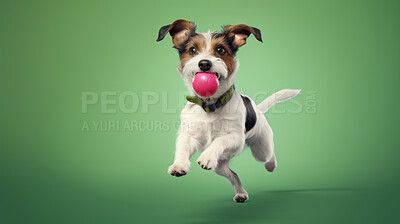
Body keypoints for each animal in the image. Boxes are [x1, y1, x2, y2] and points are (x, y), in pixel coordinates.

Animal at [156, 19, 300, 203]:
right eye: (192, 50)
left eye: (220, 50)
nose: (204, 63)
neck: (210, 106)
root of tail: (257, 110)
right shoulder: (189, 134)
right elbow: (182, 146)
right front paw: (179, 164)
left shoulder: (236, 138)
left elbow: (219, 141)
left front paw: (206, 156)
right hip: (220, 166)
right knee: (234, 174)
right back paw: (241, 192)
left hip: (262, 147)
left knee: (269, 157)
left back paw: (271, 166)